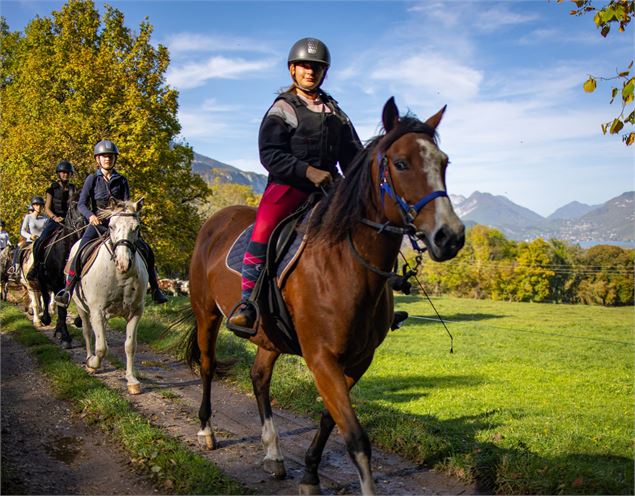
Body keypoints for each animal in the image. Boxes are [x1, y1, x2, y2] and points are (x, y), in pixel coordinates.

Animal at [35, 196, 87, 346]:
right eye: (72, 207)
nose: (82, 226)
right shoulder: (58, 283)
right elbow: (61, 309)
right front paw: (65, 337)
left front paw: (77, 322)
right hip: (41, 278)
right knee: (46, 297)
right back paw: (46, 319)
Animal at [70, 199, 149, 396]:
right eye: (112, 226)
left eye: (136, 227)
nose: (123, 263)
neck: (119, 275)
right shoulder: (97, 311)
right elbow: (101, 348)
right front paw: (92, 363)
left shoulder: (136, 312)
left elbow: (130, 346)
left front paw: (131, 380)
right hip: (82, 308)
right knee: (87, 332)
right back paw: (89, 359)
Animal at [186, 96, 464, 492]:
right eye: (401, 163)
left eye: (444, 162)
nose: (450, 236)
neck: (346, 265)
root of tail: (214, 221)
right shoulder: (321, 358)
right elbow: (357, 438)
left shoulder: (357, 361)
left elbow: (329, 419)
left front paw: (310, 474)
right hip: (206, 314)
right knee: (208, 367)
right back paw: (207, 431)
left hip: (269, 335)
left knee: (259, 377)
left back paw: (273, 454)